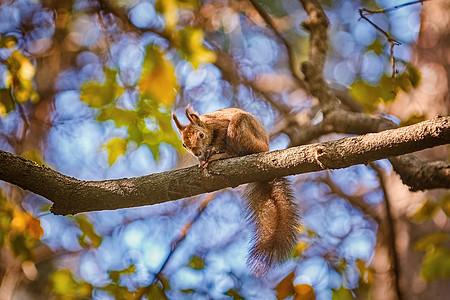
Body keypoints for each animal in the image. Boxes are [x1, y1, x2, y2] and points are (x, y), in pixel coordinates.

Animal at [172, 106, 298, 276]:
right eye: (184, 145)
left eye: (201, 135)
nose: (197, 153)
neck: (207, 125)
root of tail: (265, 148)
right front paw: (201, 159)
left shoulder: (221, 125)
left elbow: (219, 139)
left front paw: (212, 151)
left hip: (241, 128)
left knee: (238, 151)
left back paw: (222, 155)